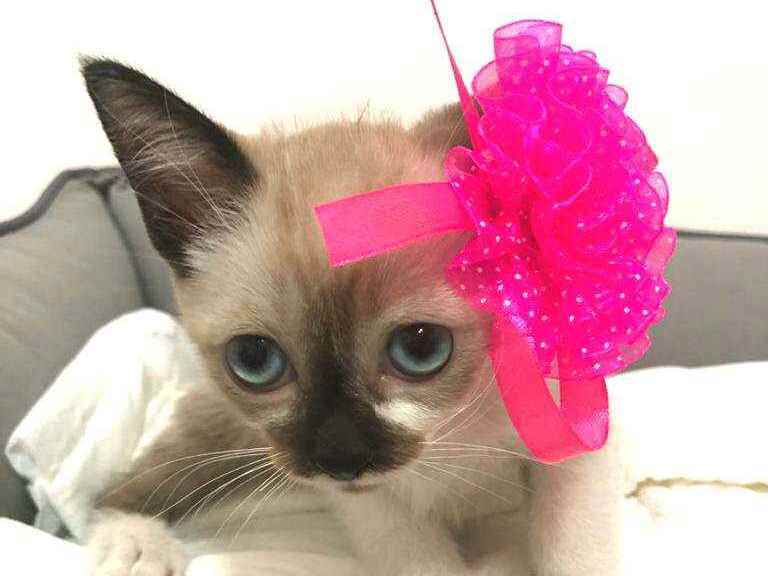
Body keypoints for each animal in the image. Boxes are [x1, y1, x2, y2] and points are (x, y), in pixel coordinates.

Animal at [81, 58, 623, 576]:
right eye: (254, 360)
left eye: (421, 348)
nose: (341, 459)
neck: (455, 424)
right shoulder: (374, 505)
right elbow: (420, 562)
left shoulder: (572, 442)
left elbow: (574, 553)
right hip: (228, 433)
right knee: (116, 491)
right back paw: (132, 544)